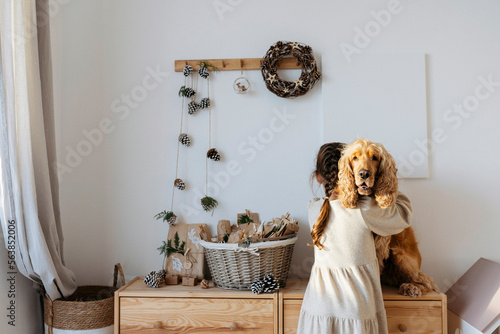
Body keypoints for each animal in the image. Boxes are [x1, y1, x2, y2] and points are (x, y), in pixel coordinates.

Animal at [336, 138, 438, 298]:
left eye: (374, 158)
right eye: (354, 158)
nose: (364, 173)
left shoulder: (380, 244)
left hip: (400, 255)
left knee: (426, 280)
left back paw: (412, 288)